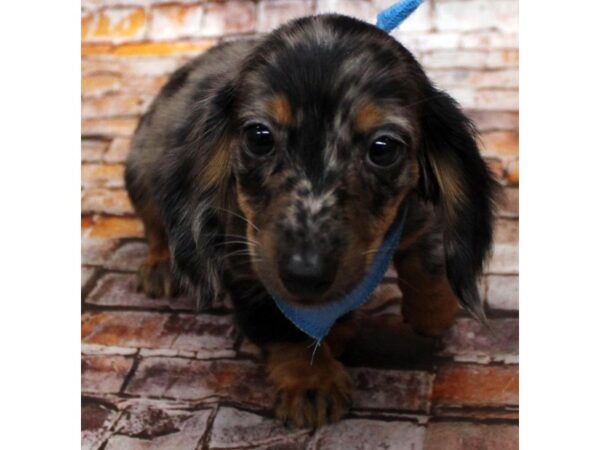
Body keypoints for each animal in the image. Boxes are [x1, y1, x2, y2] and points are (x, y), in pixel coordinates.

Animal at [123, 14, 496, 428]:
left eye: (383, 148)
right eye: (259, 136)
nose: (305, 274)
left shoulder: (412, 211)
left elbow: (427, 256)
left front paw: (431, 311)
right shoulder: (247, 262)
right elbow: (280, 324)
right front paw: (311, 382)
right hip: (142, 172)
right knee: (156, 226)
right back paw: (161, 266)